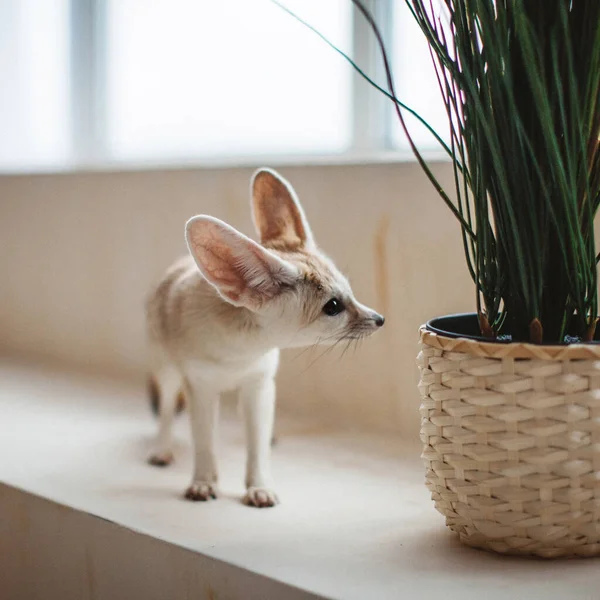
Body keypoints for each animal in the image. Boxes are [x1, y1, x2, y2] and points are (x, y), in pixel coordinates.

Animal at [145, 168, 384, 506]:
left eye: (350, 294)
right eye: (333, 307)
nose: (379, 319)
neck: (241, 353)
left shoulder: (259, 383)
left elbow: (256, 445)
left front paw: (259, 486)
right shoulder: (201, 388)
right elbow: (204, 442)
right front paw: (203, 482)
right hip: (167, 371)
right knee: (166, 411)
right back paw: (162, 449)